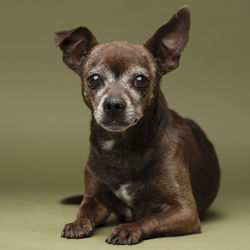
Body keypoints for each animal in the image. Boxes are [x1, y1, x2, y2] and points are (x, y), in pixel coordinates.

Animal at [53, 5, 220, 244]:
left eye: (141, 80)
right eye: (94, 79)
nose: (114, 104)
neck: (123, 147)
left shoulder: (185, 210)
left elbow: (151, 218)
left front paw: (128, 228)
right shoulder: (96, 199)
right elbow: (84, 209)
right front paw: (78, 223)